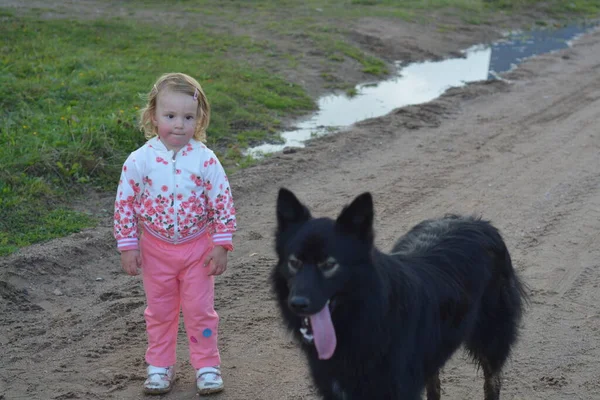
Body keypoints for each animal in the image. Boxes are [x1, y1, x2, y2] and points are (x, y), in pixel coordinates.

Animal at [270, 189, 524, 400]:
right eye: (294, 262)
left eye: (329, 264)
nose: (297, 304)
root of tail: (478, 222)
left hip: (491, 338)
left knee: (492, 382)